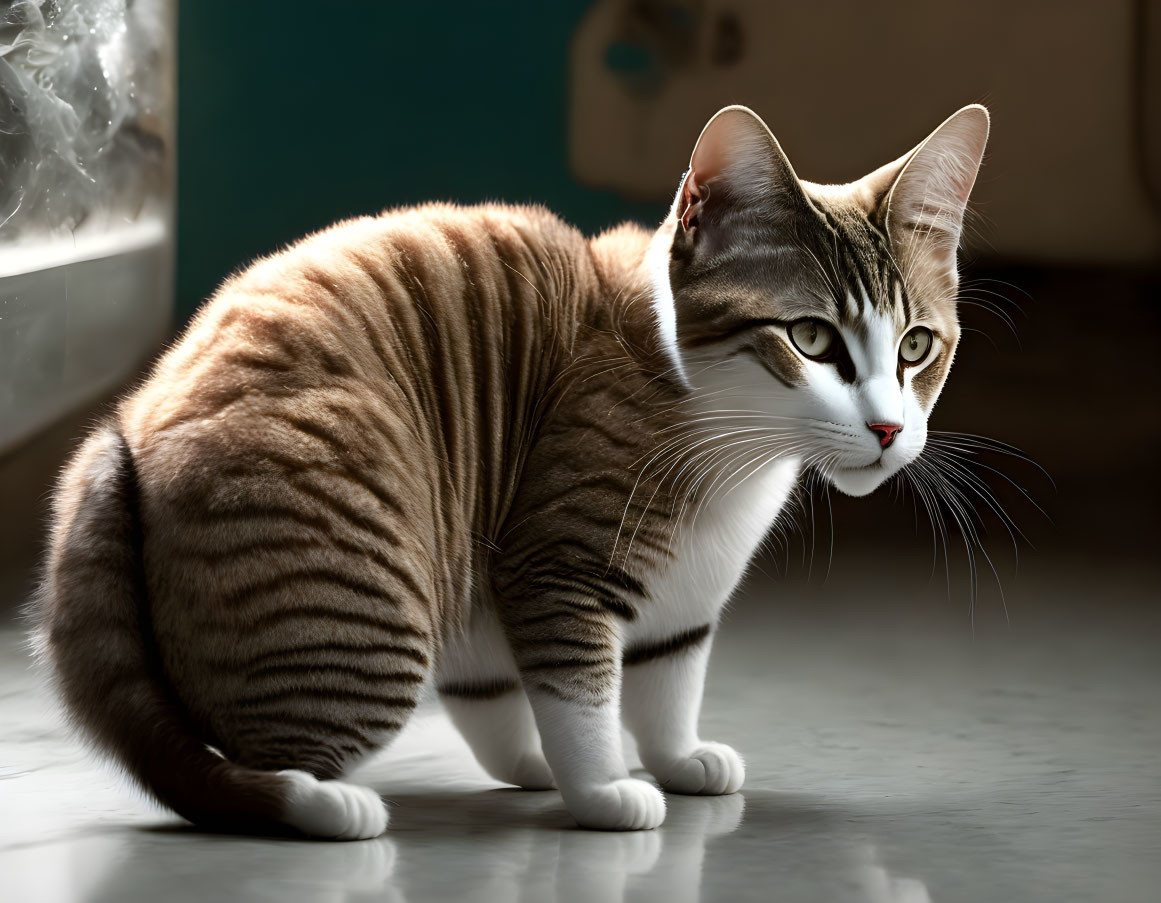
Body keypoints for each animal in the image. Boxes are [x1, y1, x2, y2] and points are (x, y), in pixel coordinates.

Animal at [29, 105, 989, 835]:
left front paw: (672, 757)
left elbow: (664, 679)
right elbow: (579, 686)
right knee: (249, 762)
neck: (738, 456)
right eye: (811, 337)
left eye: (916, 346)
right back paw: (323, 805)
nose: (887, 429)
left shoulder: (678, 594)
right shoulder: (558, 559)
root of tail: (127, 424)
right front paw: (602, 790)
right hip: (362, 602)